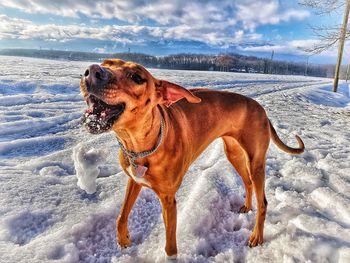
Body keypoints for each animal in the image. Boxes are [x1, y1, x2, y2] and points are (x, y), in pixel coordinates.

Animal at [79, 58, 304, 258]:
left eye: (137, 77)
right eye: (107, 62)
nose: (92, 71)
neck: (138, 146)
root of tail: (262, 110)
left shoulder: (168, 200)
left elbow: (170, 246)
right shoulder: (134, 180)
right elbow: (121, 216)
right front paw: (124, 239)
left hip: (255, 162)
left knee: (263, 202)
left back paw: (256, 236)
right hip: (234, 154)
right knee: (247, 182)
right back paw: (247, 207)